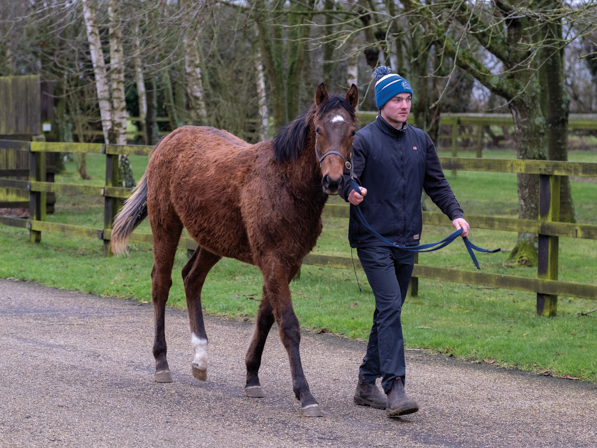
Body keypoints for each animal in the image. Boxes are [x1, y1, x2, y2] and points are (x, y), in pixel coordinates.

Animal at [110, 83, 356, 416]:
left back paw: (201, 358)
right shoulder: (273, 261)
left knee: (191, 279)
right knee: (161, 284)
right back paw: (162, 362)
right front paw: (305, 394)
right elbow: (288, 326)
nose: (333, 180)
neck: (284, 183)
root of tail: (171, 137)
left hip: (213, 240)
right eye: (318, 129)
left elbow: (266, 319)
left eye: (352, 131)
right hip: (166, 226)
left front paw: (252, 377)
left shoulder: (287, 263)